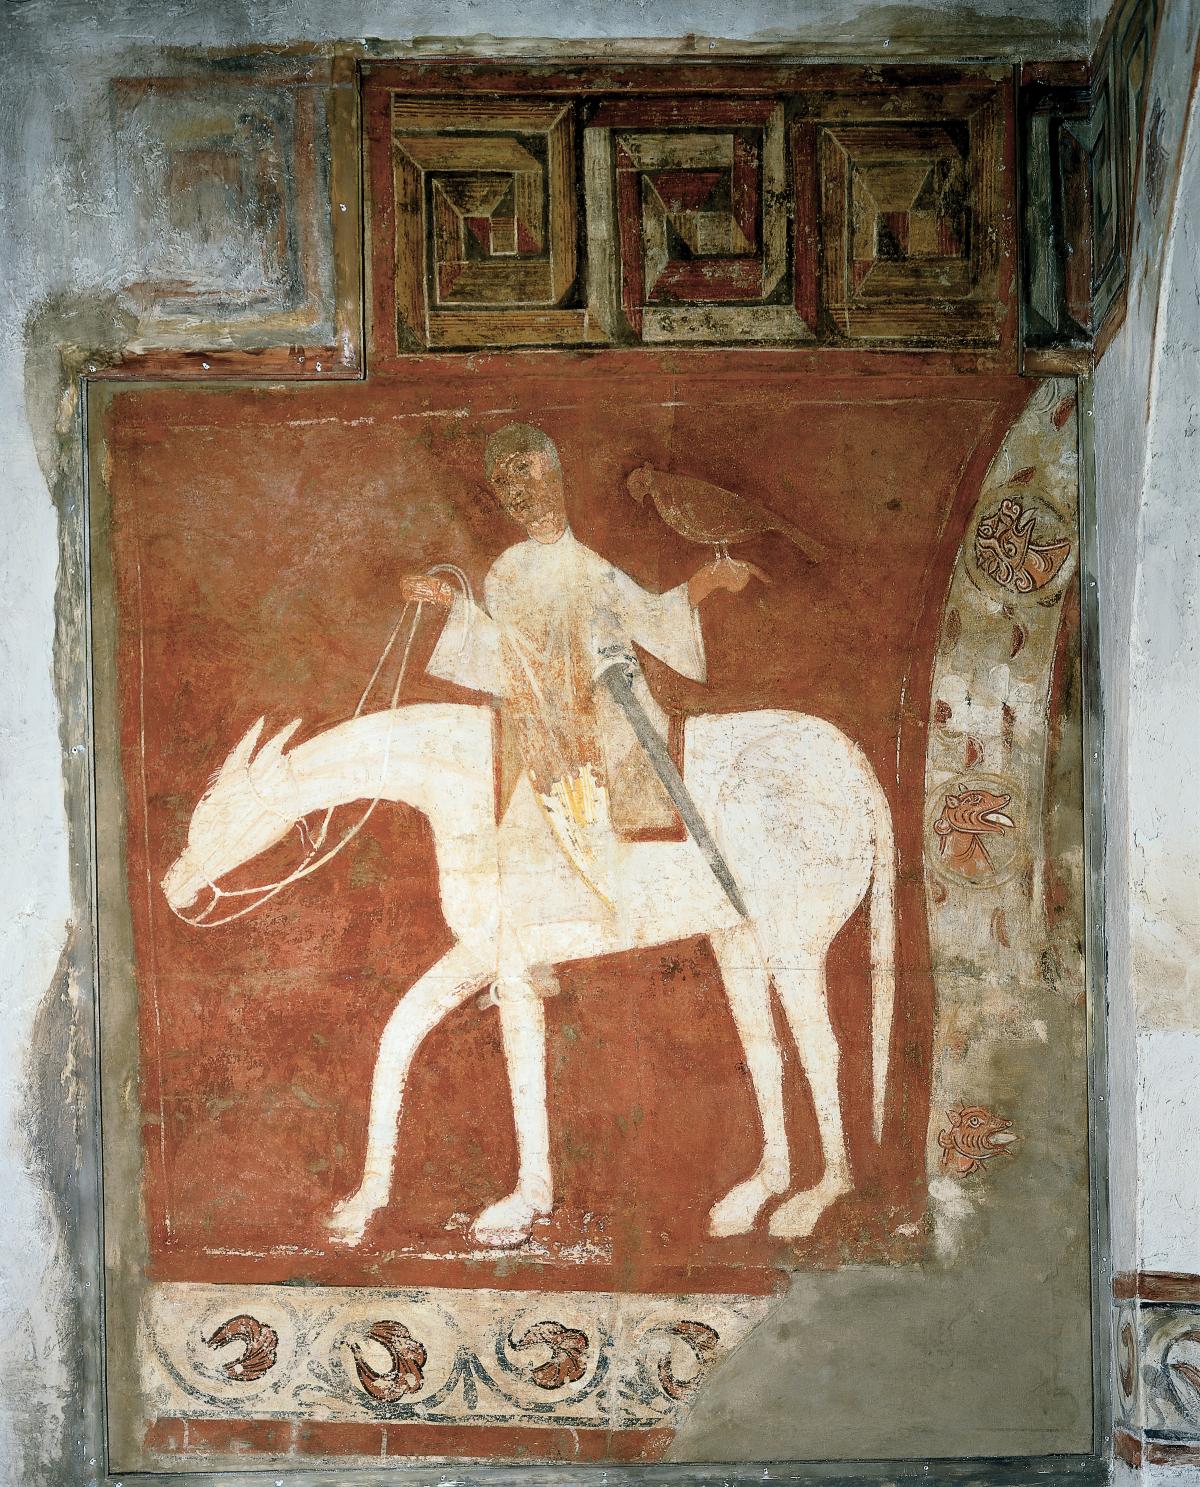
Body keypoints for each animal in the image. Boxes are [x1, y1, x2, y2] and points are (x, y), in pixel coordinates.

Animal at [164, 701, 904, 1249]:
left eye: (219, 816)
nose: (174, 890)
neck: (470, 787)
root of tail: (855, 767)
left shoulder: (514, 968)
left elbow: (522, 1072)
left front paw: (521, 1207)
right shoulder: (479, 957)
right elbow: (399, 1034)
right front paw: (360, 1206)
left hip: (791, 938)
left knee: (822, 1049)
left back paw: (816, 1200)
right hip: (736, 939)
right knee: (765, 1052)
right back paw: (754, 1197)